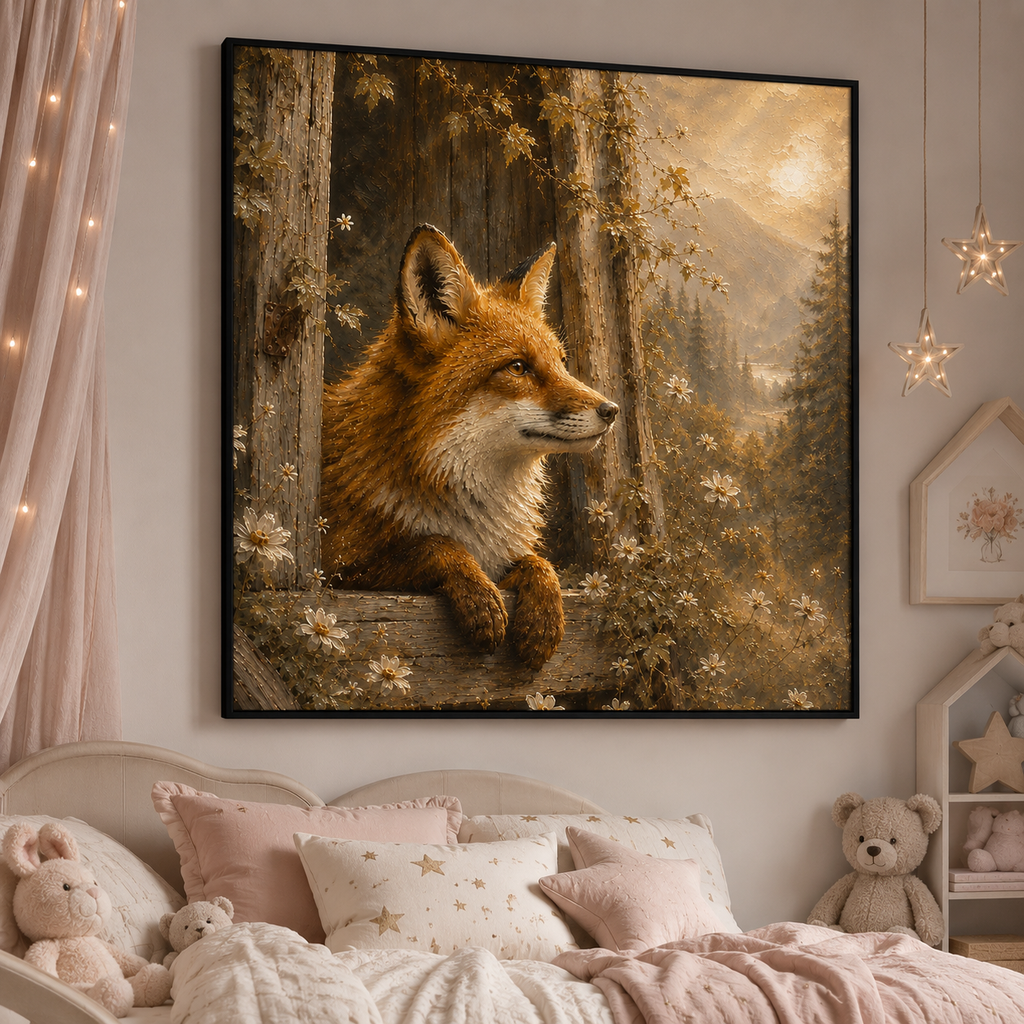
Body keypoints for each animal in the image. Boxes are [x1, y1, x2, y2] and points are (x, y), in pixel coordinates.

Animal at [319, 224, 618, 670]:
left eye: (561, 363)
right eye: (518, 367)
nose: (612, 410)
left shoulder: (503, 555)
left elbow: (538, 563)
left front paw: (543, 618)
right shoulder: (339, 568)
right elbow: (434, 546)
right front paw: (479, 601)